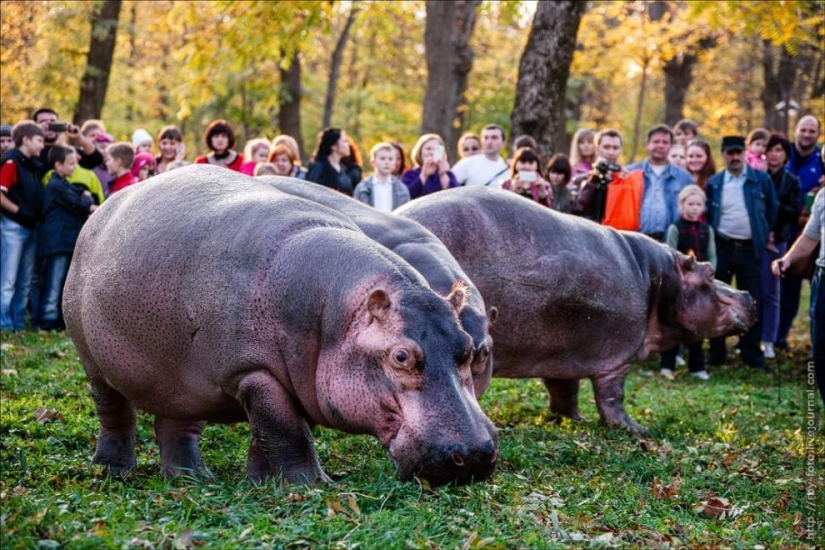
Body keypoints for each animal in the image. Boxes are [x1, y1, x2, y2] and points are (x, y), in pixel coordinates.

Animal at [396, 188, 756, 438]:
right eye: (710, 272)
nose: (748, 295)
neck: (658, 279)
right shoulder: (616, 359)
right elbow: (613, 399)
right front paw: (637, 430)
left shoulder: (561, 355)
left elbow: (564, 392)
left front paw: (572, 420)